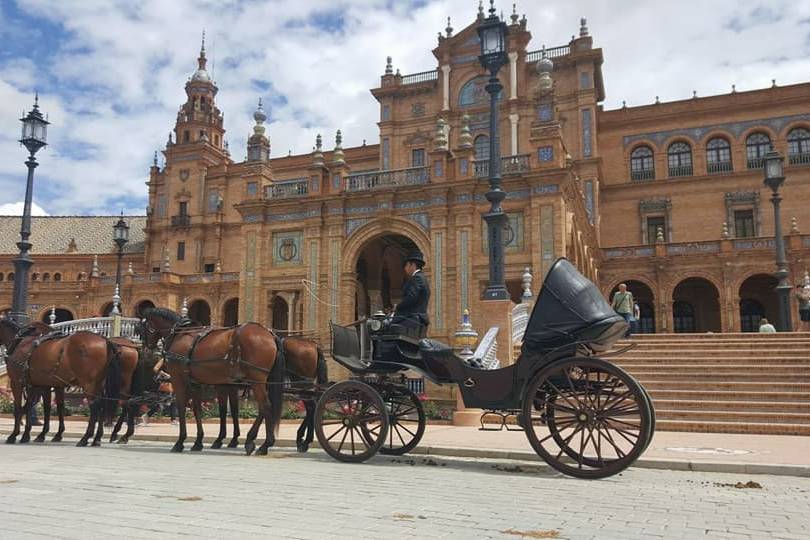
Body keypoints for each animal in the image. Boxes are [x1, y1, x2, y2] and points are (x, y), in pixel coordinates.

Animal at [142, 308, 284, 456]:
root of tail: (270, 334)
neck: (179, 334)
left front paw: (180, 442)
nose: (147, 349)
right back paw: (257, 441)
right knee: (264, 407)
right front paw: (199, 441)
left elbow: (181, 407)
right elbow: (200, 409)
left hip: (257, 379)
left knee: (266, 406)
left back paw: (262, 444)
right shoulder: (197, 383)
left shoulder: (178, 379)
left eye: (144, 327)